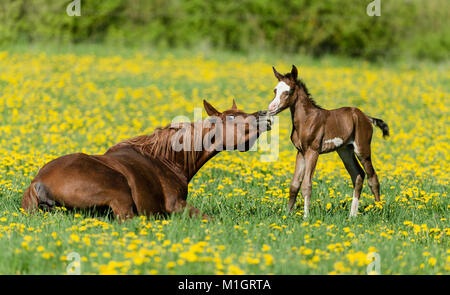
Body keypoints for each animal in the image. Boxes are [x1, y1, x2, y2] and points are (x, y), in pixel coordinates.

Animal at [21, 100, 270, 221]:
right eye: (232, 118)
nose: (263, 116)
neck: (168, 160)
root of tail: (38, 182)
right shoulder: (176, 205)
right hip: (119, 193)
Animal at [268, 66, 388, 219]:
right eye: (275, 90)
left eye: (289, 91)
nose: (271, 108)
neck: (306, 119)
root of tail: (366, 116)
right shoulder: (300, 152)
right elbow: (294, 184)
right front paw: (287, 214)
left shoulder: (312, 151)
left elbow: (306, 184)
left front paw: (306, 217)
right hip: (345, 151)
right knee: (358, 175)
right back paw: (352, 215)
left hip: (363, 149)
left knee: (373, 178)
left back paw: (380, 210)